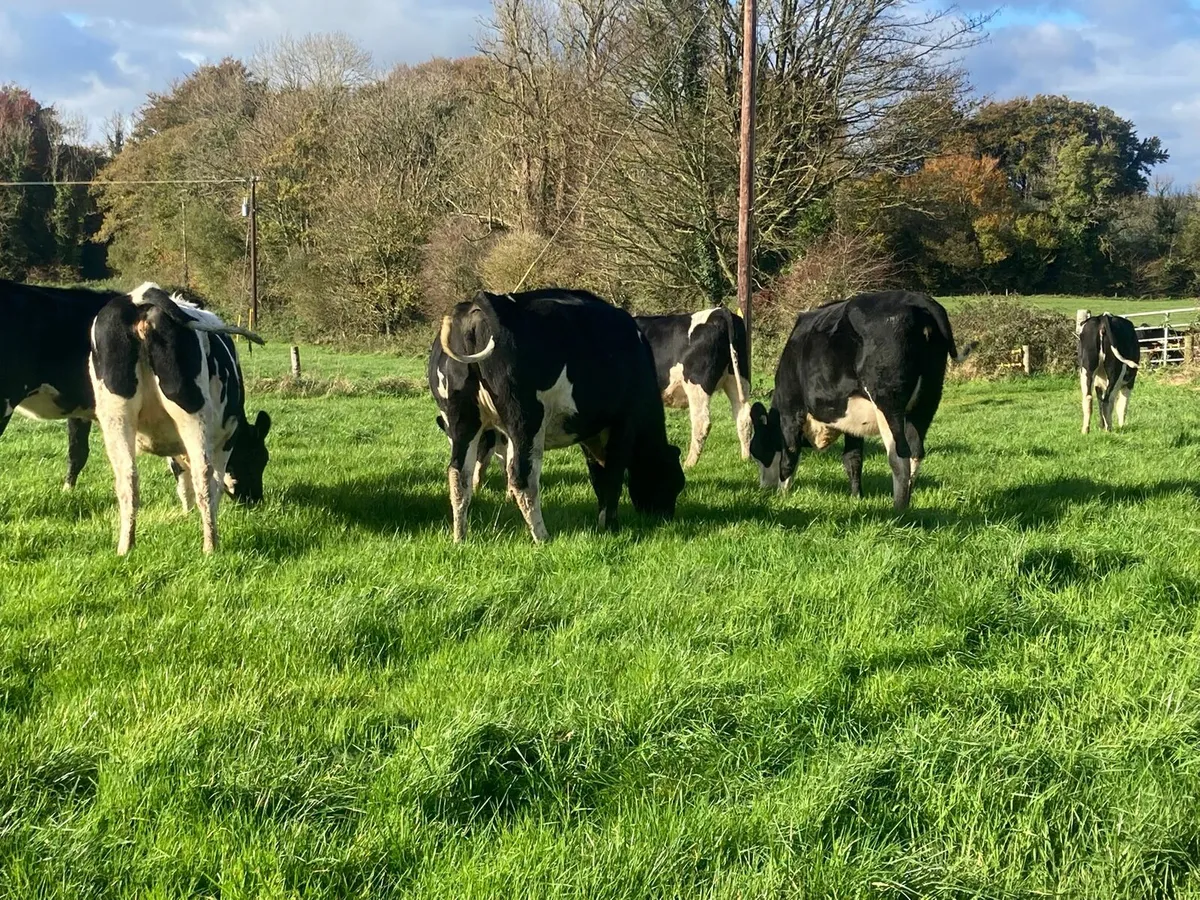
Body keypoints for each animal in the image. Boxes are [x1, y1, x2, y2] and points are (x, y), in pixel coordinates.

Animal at [89, 283, 272, 555]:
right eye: (259, 459)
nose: (255, 500)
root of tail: (142, 297)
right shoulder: (228, 436)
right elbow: (213, 481)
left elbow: (181, 481)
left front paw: (186, 513)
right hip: (194, 416)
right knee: (203, 475)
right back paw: (210, 546)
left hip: (116, 415)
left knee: (127, 479)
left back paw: (125, 547)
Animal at [432, 288, 685, 543]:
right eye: (674, 482)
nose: (665, 516)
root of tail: (482, 303)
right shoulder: (623, 423)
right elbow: (613, 475)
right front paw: (610, 525)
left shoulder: (590, 432)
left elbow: (598, 476)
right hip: (525, 420)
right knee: (522, 477)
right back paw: (542, 536)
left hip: (462, 419)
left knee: (459, 475)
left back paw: (460, 538)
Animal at [634, 307, 752, 467]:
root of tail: (719, 311)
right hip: (737, 378)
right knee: (744, 416)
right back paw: (745, 458)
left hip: (696, 384)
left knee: (701, 422)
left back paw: (689, 464)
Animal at [748, 290, 971, 511]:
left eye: (758, 450)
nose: (763, 488)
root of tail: (918, 299)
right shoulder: (852, 423)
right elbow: (852, 458)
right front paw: (857, 498)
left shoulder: (790, 411)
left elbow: (790, 454)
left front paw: (782, 495)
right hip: (928, 398)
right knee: (916, 452)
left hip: (888, 402)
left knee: (900, 455)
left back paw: (898, 509)